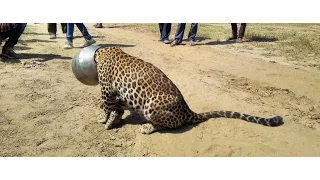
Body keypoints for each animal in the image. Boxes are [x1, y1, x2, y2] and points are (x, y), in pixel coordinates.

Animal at [94, 47, 284, 134]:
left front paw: (105, 119)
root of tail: (187, 109)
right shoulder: (120, 94)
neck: (103, 51)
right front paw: (113, 120)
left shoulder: (106, 89)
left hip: (152, 105)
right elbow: (116, 108)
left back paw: (147, 127)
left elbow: (106, 106)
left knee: (170, 124)